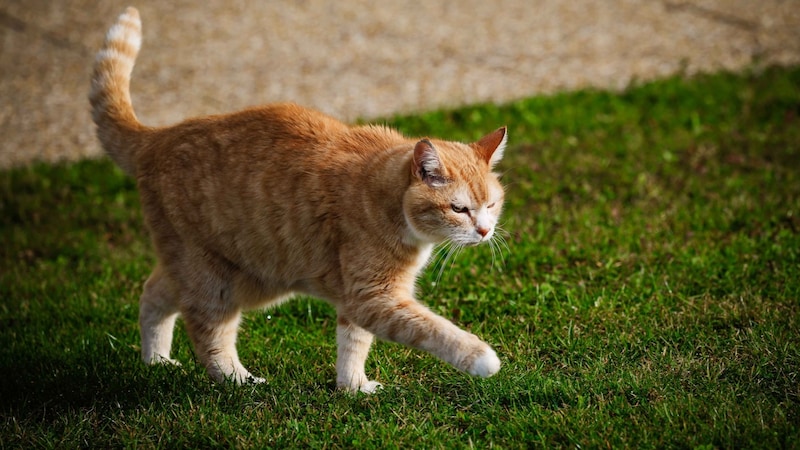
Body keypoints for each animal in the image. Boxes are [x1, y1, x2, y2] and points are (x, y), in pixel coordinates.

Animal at [90, 7, 506, 394]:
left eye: (491, 205)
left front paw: (353, 387)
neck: (383, 196)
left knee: (153, 295)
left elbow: (353, 344)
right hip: (212, 278)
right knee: (209, 338)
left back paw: (156, 361)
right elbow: (432, 329)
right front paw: (481, 358)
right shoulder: (374, 297)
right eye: (459, 209)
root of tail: (158, 136)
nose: (485, 232)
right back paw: (239, 381)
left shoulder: (356, 301)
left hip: (239, 275)